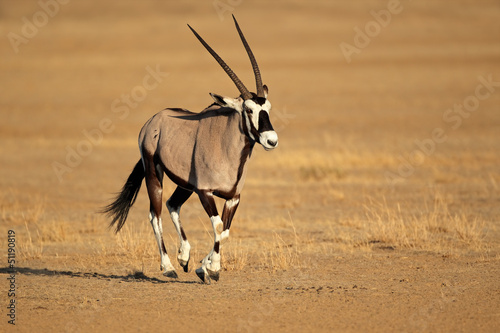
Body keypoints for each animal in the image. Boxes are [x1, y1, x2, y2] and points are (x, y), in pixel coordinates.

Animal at [103, 16, 280, 282]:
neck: (227, 147)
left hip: (184, 184)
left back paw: (184, 256)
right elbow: (218, 226)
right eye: (249, 110)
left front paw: (202, 266)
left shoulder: (233, 198)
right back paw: (168, 266)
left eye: (267, 107)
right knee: (155, 214)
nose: (271, 140)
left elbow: (225, 231)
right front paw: (212, 269)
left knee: (173, 205)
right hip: (154, 174)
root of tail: (154, 120)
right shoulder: (205, 192)